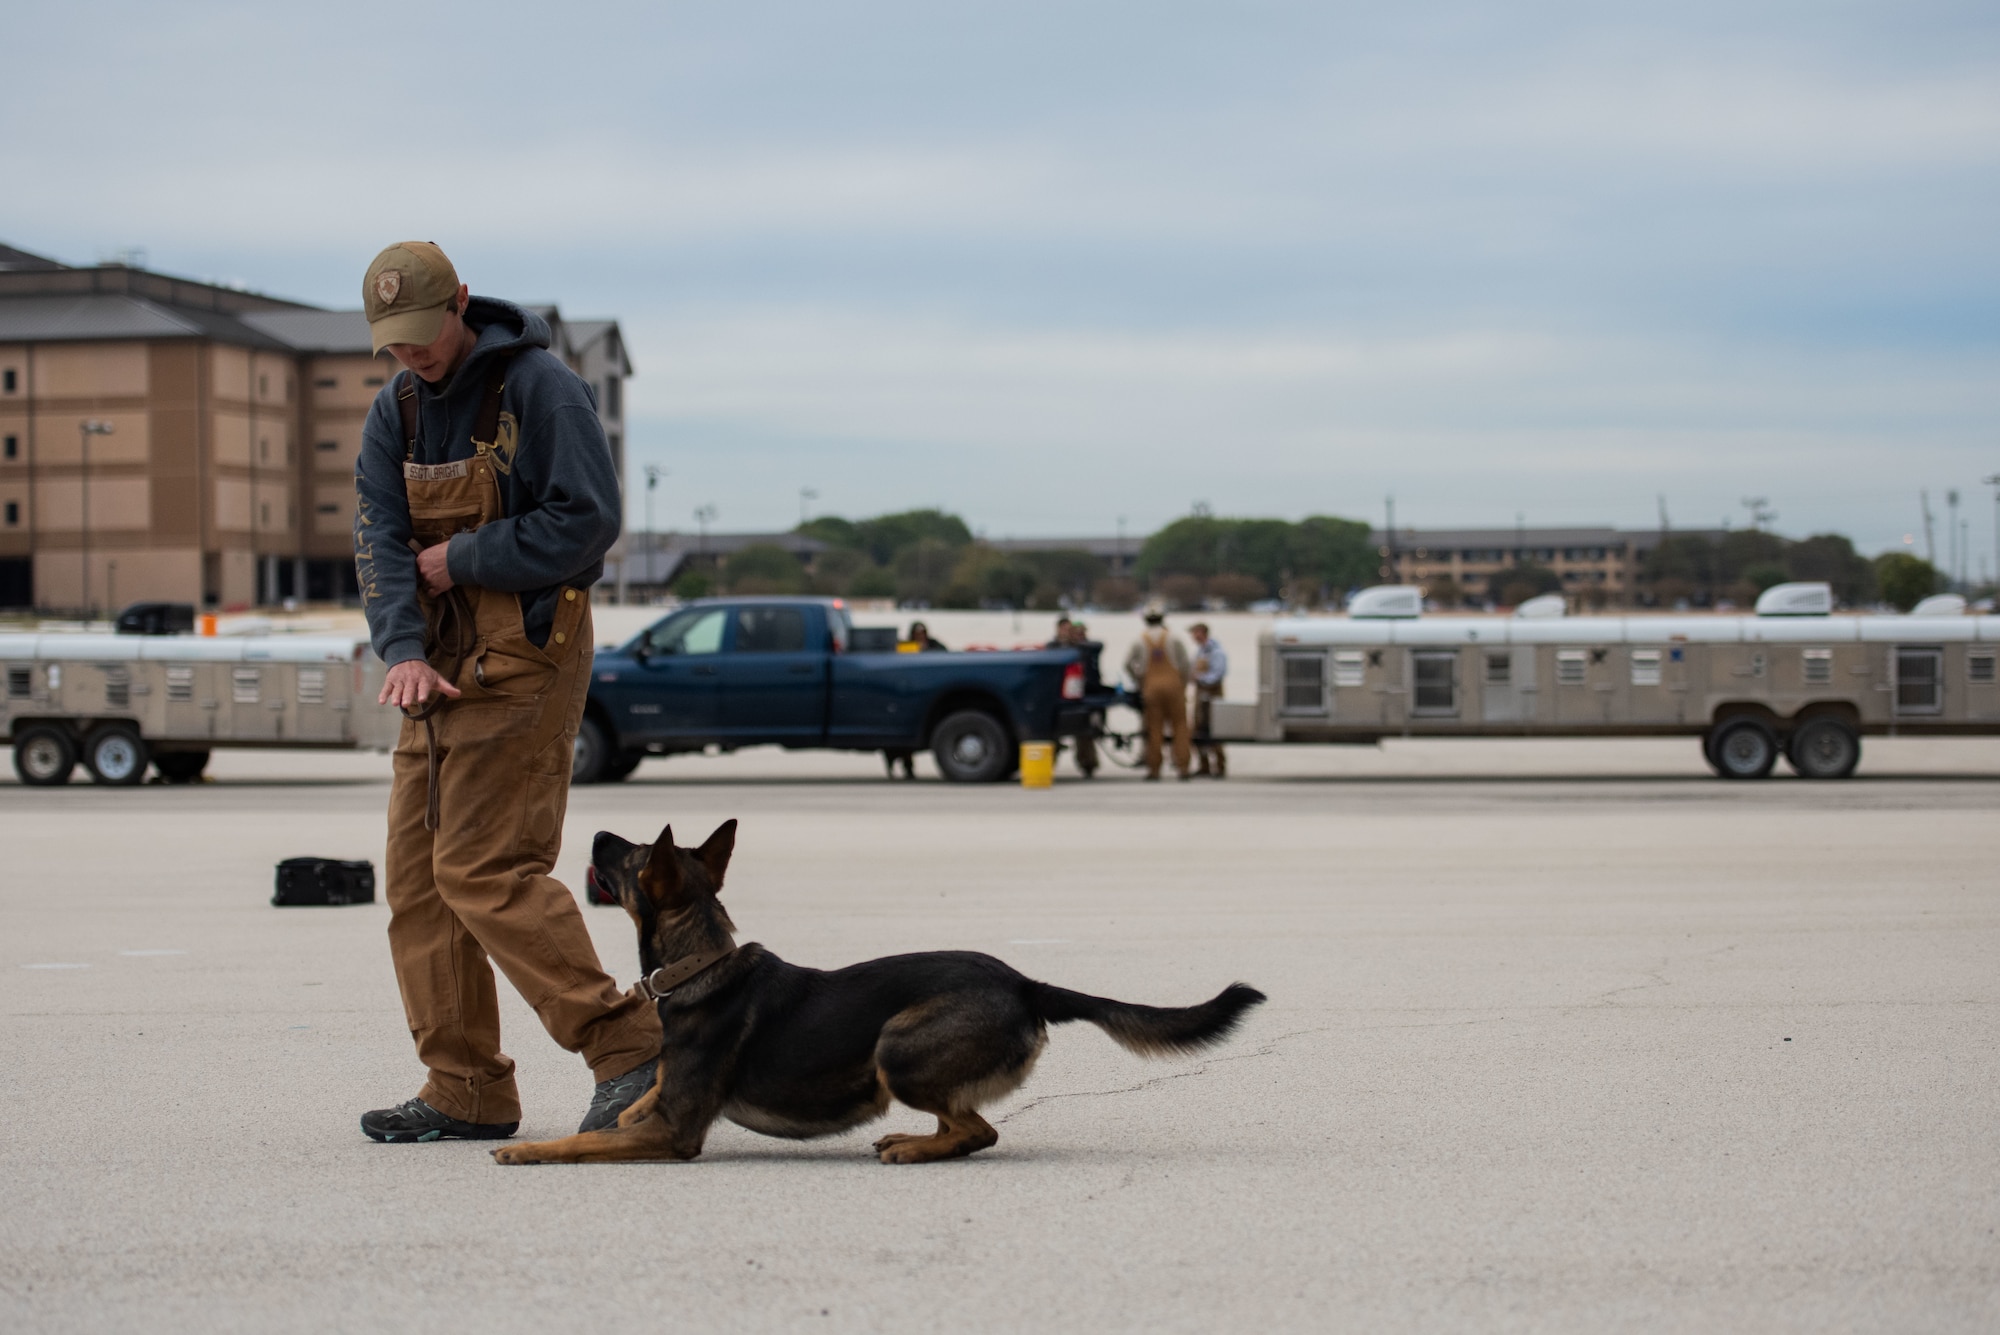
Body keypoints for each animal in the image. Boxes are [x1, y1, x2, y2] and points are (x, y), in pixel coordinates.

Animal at [490, 819, 1256, 1159]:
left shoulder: (679, 1134)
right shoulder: (667, 1105)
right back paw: (914, 1138)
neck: (698, 963)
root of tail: (1026, 983)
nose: (595, 829)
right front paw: (624, 1106)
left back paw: (913, 1147)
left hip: (896, 1047)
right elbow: (635, 1103)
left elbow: (577, 1143)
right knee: (964, 1125)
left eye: (632, 855)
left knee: (978, 1130)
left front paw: (528, 1150)